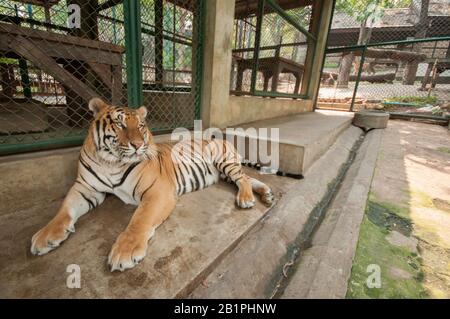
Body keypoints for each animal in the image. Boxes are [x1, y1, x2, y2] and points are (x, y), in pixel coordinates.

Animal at [30, 98, 274, 272]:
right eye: (119, 123)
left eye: (140, 126)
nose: (138, 145)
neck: (110, 162)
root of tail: (222, 139)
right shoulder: (84, 188)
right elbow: (64, 210)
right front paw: (45, 236)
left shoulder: (157, 191)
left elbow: (140, 219)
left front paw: (125, 251)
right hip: (225, 171)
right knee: (248, 178)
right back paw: (266, 194)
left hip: (224, 161)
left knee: (243, 179)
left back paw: (247, 199)